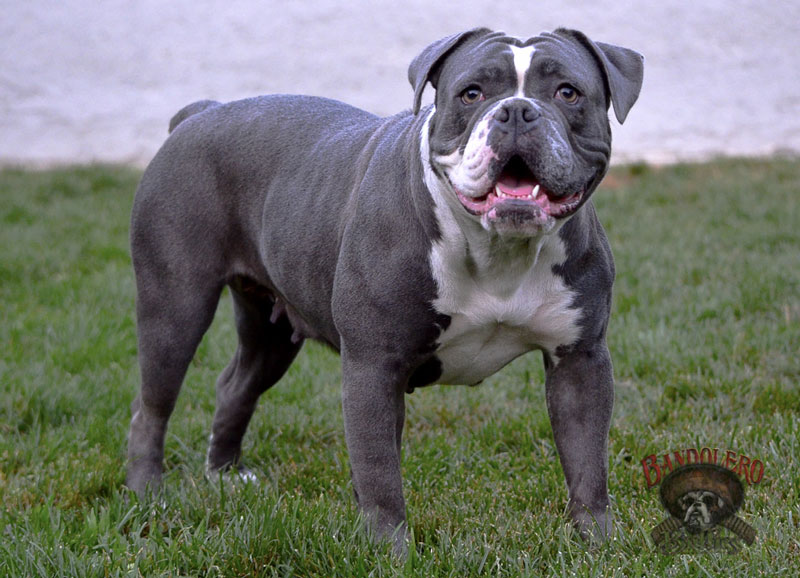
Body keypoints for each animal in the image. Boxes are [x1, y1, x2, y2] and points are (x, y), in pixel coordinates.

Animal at [126, 27, 643, 552]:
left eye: (568, 92)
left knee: (235, 385)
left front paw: (598, 545)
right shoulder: (374, 365)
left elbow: (587, 464)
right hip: (176, 306)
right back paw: (148, 493)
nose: (516, 111)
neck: (497, 250)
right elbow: (379, 472)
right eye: (471, 93)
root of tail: (201, 112)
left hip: (269, 331)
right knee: (152, 404)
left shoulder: (579, 360)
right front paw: (390, 551)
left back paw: (226, 475)